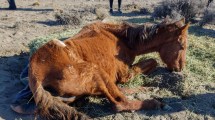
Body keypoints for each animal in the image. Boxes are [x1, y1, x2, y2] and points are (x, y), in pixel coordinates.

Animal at [29, 17, 190, 119]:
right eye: (182, 45)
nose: (180, 69)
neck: (123, 39)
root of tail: (36, 74)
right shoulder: (125, 74)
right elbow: (150, 63)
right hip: (96, 72)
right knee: (119, 103)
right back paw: (155, 103)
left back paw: (149, 89)